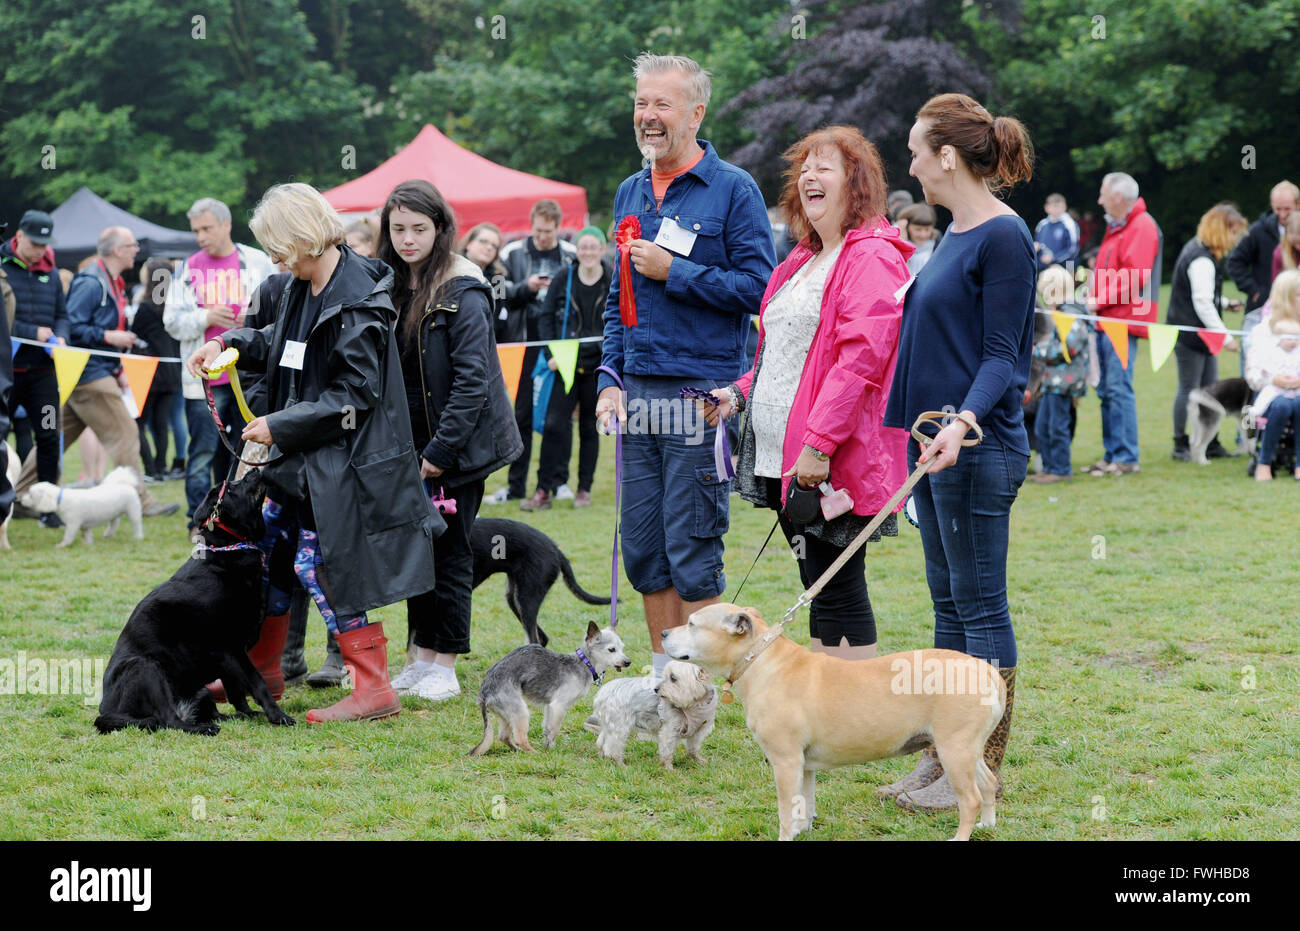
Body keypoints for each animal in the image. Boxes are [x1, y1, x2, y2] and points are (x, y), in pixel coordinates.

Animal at [470, 618, 631, 754]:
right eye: (612, 650)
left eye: (623, 648)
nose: (628, 662)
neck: (585, 663)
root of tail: (484, 693)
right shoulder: (558, 706)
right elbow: (554, 730)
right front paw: (551, 751)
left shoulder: (549, 706)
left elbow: (547, 728)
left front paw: (548, 747)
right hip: (519, 711)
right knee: (520, 738)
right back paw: (535, 753)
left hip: (505, 713)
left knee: (503, 736)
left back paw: (518, 751)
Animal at [590, 657, 722, 769]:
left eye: (673, 678)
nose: (656, 689)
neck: (694, 704)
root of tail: (601, 694)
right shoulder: (669, 729)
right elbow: (667, 751)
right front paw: (669, 769)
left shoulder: (698, 730)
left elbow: (693, 748)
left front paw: (698, 760)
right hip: (620, 724)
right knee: (612, 747)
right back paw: (621, 764)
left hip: (610, 723)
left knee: (601, 742)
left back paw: (604, 758)